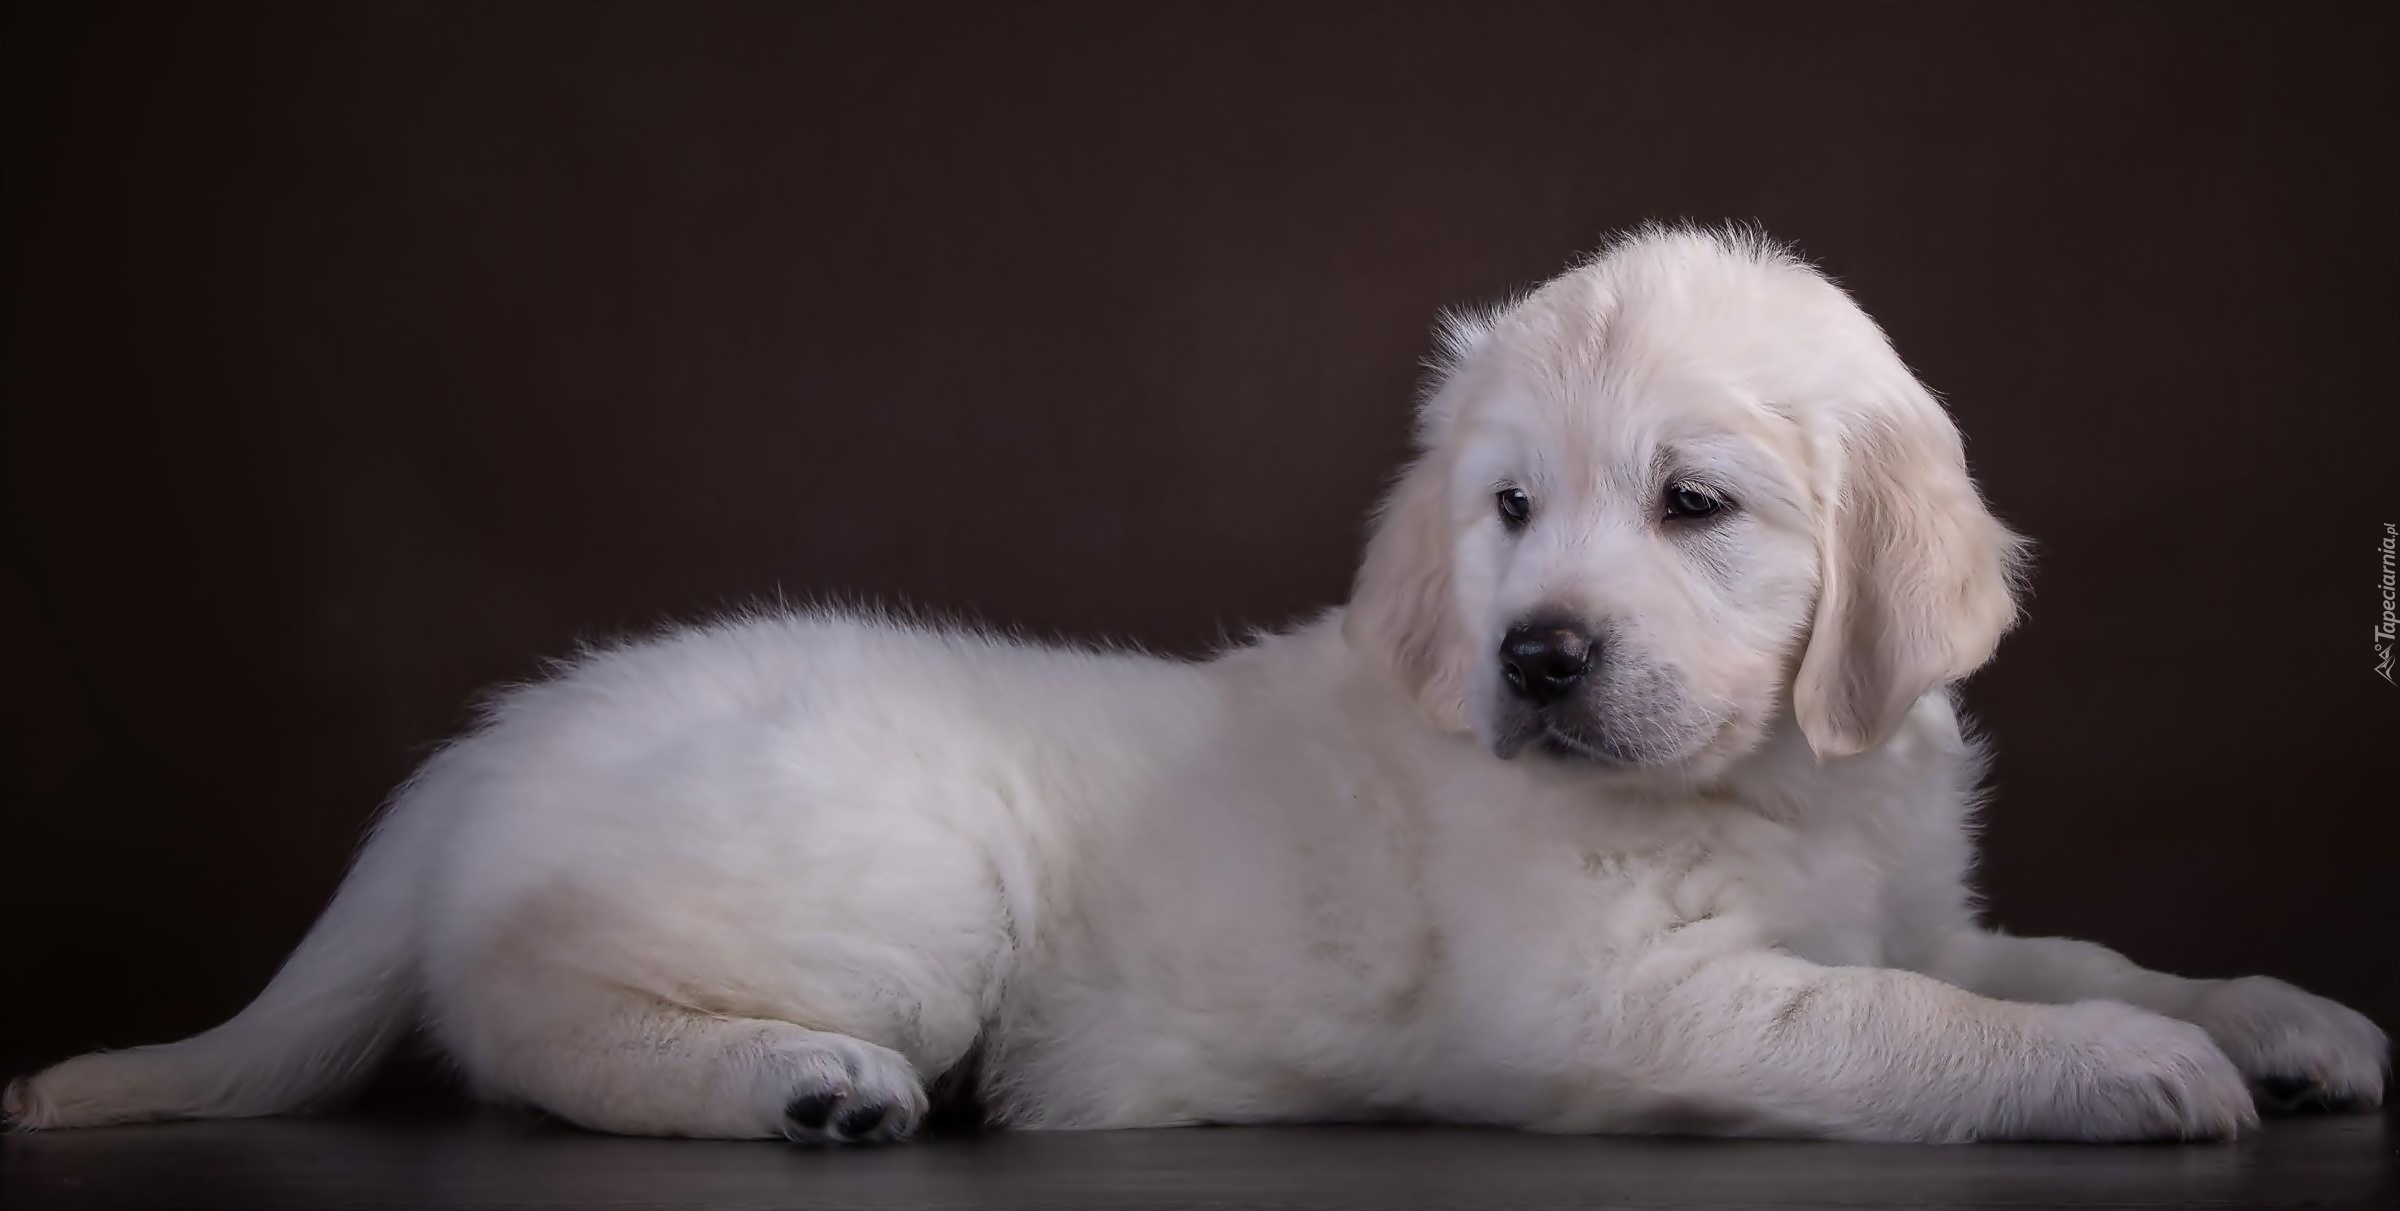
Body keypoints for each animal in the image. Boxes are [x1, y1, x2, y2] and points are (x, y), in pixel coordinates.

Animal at [14, 226, 2380, 1141]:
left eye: (1695, 503)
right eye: (1513, 509)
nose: (1534, 655)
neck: (1770, 782)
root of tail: (484, 742)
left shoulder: (1918, 891)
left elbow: (2047, 947)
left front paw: (2280, 1016)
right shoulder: (1626, 1006)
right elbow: (1905, 1020)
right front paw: (2120, 1066)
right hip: (905, 884)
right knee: (521, 1014)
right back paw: (798, 1081)